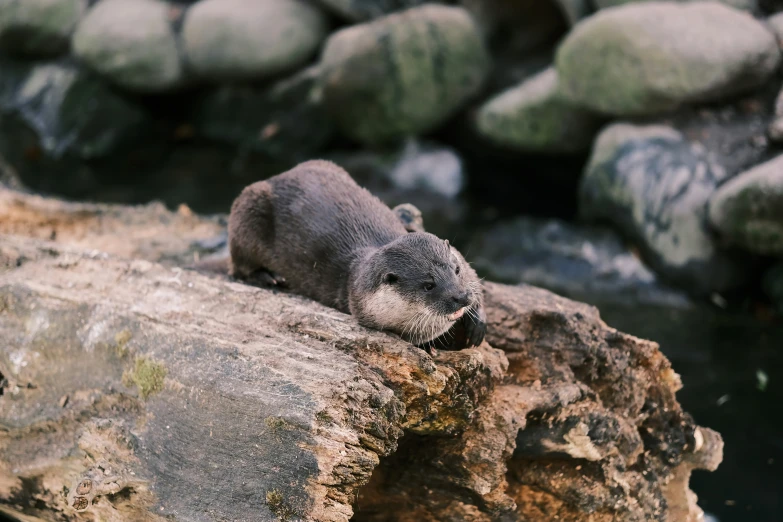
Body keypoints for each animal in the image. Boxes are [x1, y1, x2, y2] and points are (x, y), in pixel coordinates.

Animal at [228, 158, 484, 346]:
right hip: (249, 209)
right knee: (239, 265)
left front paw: (478, 320)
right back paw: (269, 277)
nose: (461, 296)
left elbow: (476, 280)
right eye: (428, 285)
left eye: (456, 270)